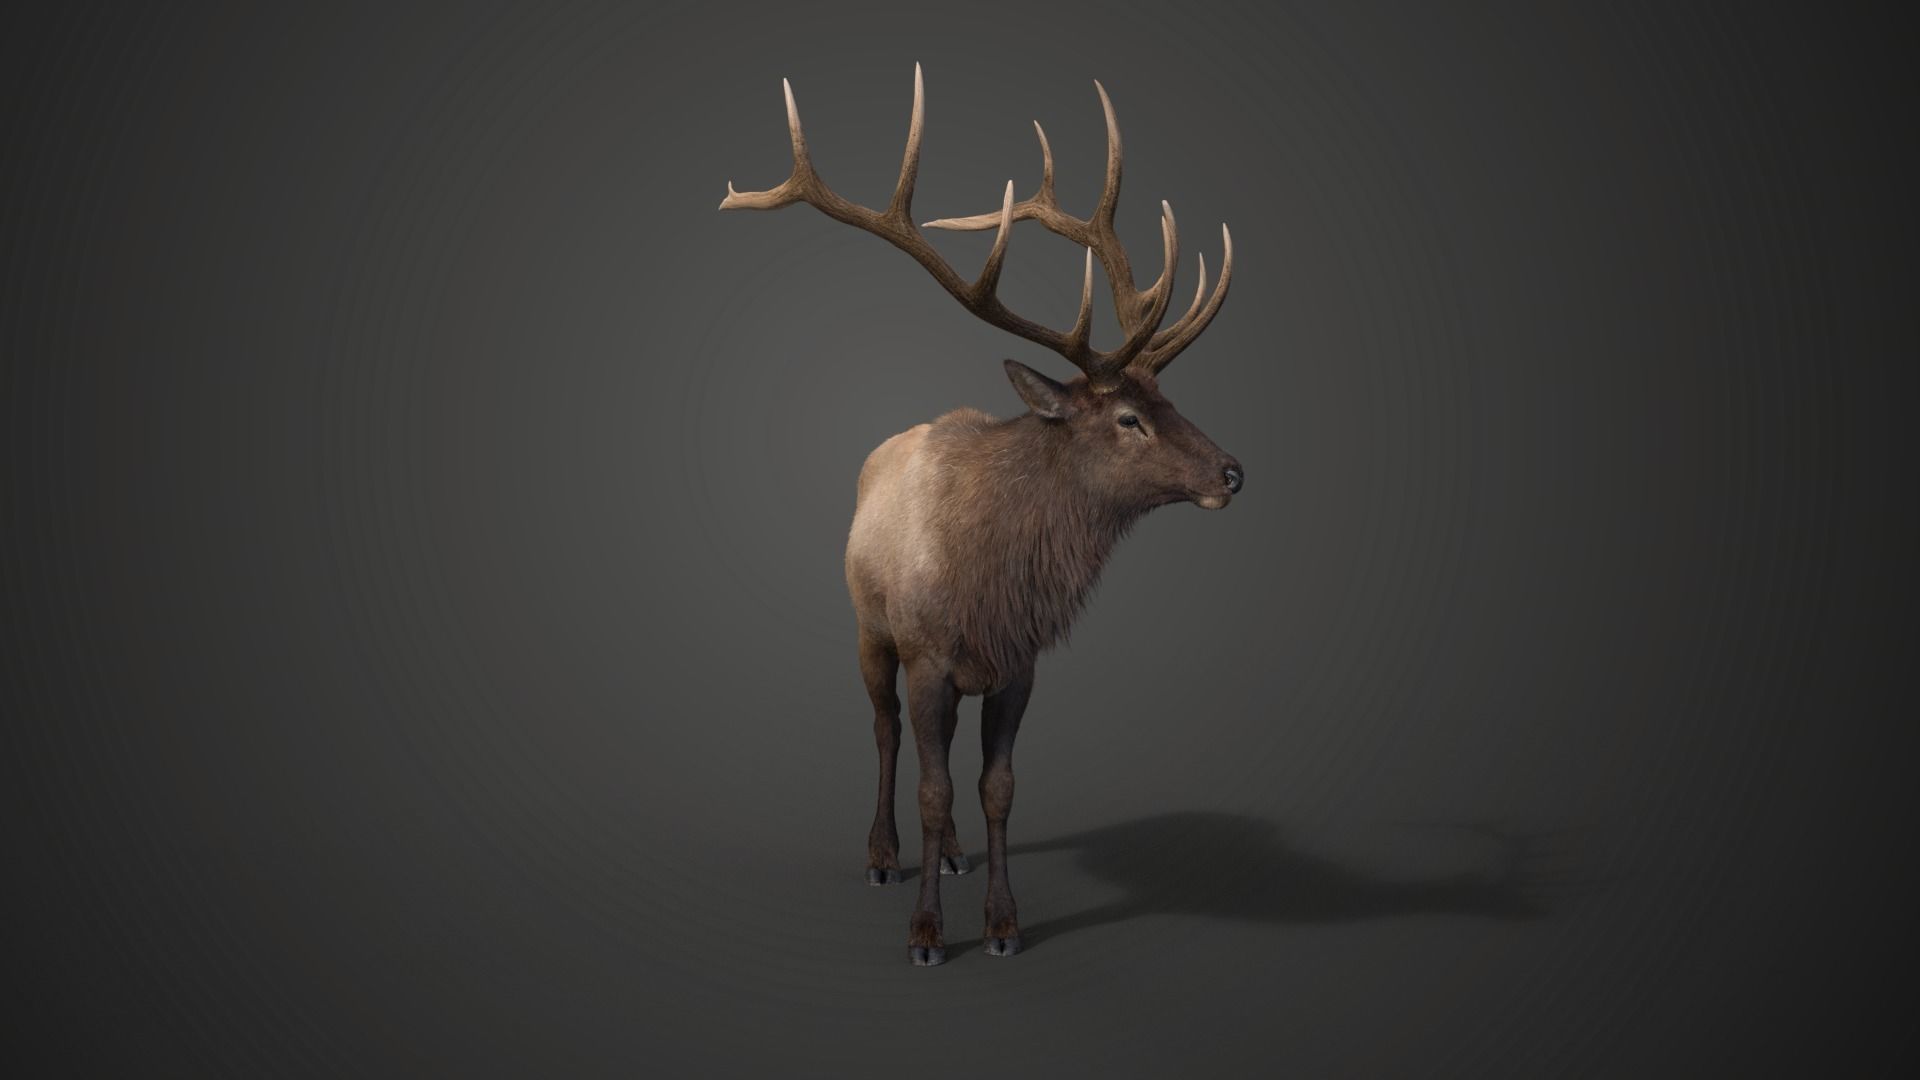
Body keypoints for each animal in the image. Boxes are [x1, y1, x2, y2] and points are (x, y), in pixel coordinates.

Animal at [719, 65, 1241, 966]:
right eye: (1127, 418)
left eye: (1168, 401)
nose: (1232, 472)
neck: (994, 580)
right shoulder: (927, 653)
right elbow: (930, 787)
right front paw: (926, 933)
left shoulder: (1018, 664)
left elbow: (997, 787)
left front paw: (1002, 922)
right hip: (870, 630)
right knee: (887, 729)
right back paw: (883, 856)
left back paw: (955, 856)